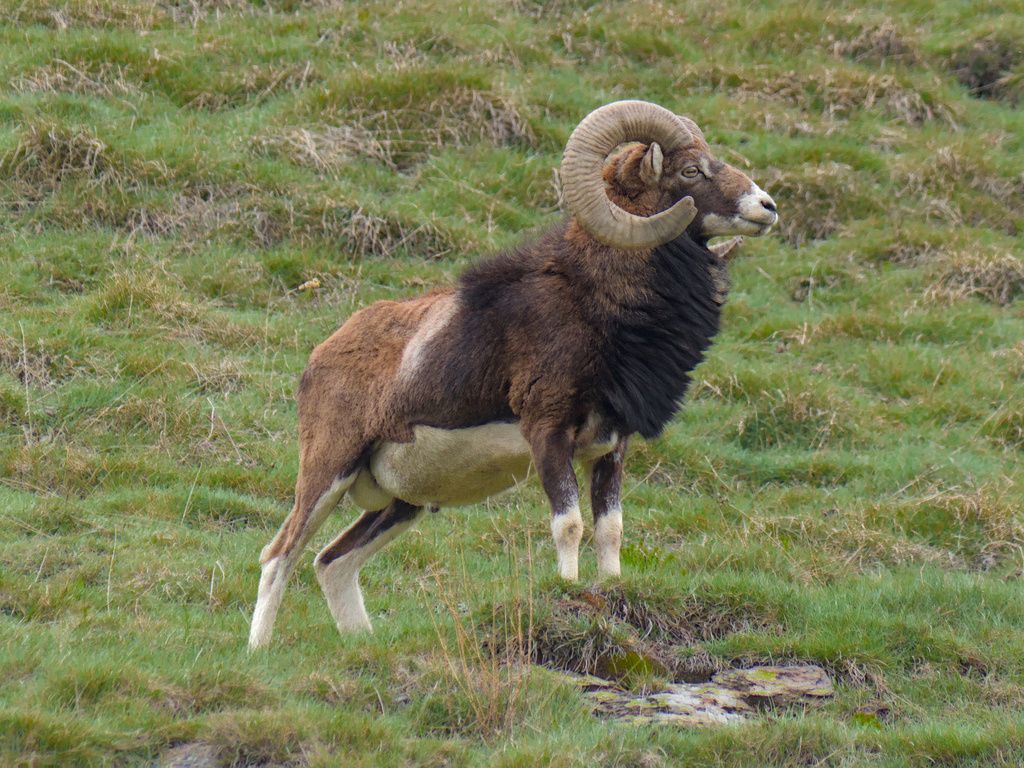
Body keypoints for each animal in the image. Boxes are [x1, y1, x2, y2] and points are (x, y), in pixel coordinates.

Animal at [249, 100, 777, 648]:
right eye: (690, 170)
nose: (767, 206)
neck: (597, 304)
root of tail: (321, 357)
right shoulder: (548, 434)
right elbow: (569, 526)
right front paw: (568, 589)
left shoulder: (611, 448)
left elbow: (610, 530)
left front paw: (611, 588)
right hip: (328, 472)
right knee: (280, 555)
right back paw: (259, 651)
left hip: (399, 504)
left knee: (332, 562)